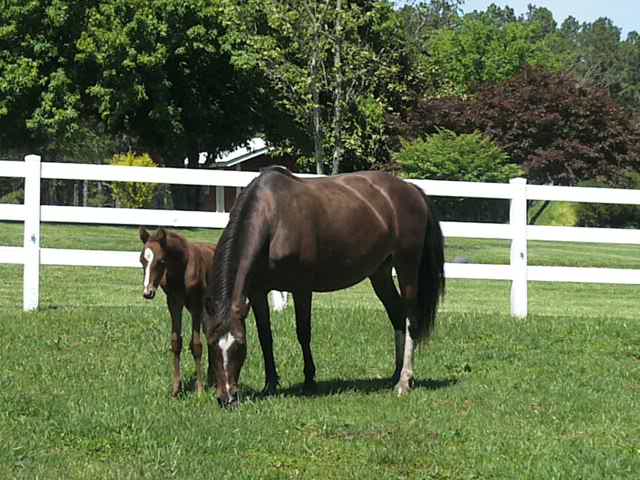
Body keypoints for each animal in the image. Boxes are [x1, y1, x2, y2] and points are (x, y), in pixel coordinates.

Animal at [139, 229, 216, 398]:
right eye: (142, 260)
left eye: (161, 260)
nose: (148, 293)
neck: (182, 269)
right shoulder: (174, 303)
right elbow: (176, 342)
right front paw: (176, 390)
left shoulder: (196, 306)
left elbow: (196, 345)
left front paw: (200, 391)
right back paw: (212, 378)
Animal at [202, 167, 442, 406]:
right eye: (211, 344)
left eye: (239, 345)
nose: (226, 398)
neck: (273, 219)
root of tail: (412, 189)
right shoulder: (257, 292)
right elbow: (265, 337)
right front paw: (270, 384)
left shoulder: (301, 288)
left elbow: (303, 332)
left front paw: (309, 381)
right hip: (380, 273)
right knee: (397, 315)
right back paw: (395, 374)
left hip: (406, 266)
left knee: (410, 319)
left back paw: (404, 381)